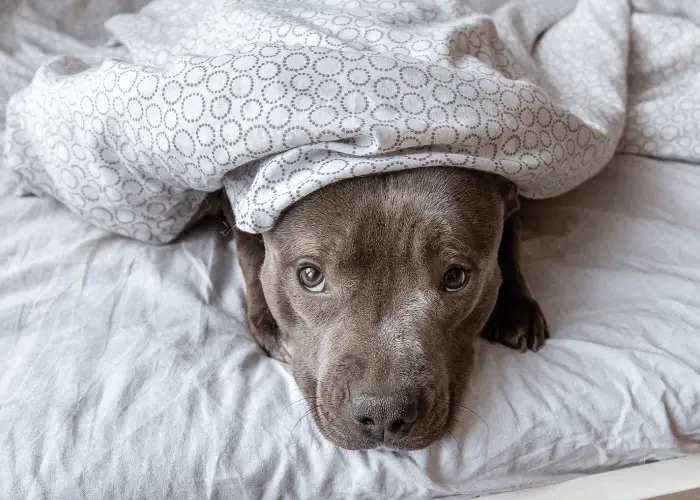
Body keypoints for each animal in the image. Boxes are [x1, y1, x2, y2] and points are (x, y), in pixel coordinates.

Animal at [219, 167, 548, 450]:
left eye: (455, 277)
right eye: (310, 276)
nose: (383, 413)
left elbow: (513, 231)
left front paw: (517, 307)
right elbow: (247, 245)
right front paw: (271, 323)